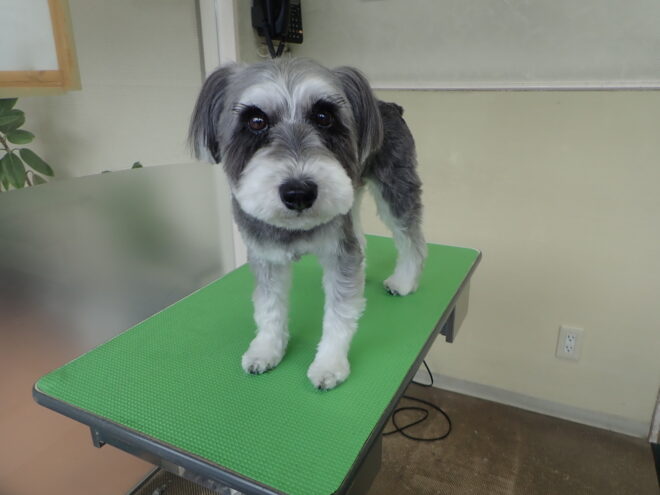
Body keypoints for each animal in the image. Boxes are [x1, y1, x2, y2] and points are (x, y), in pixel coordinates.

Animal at [189, 58, 426, 390]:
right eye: (256, 121)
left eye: (324, 117)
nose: (298, 192)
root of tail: (388, 105)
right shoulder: (265, 254)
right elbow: (269, 306)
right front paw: (266, 349)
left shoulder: (340, 253)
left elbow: (340, 312)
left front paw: (329, 364)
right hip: (351, 194)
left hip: (395, 187)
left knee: (410, 238)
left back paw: (404, 281)